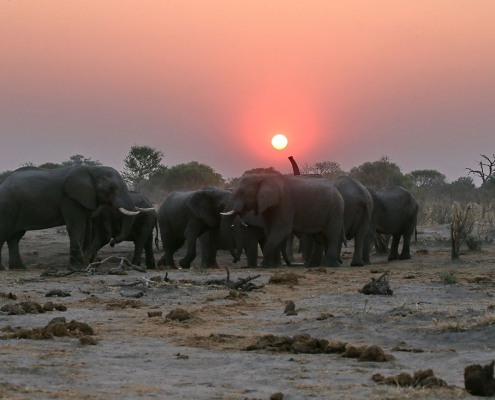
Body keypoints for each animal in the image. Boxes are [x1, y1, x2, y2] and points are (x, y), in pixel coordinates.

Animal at [0, 164, 151, 270]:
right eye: (112, 188)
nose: (113, 242)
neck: (92, 170)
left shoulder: (86, 199)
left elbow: (87, 228)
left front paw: (84, 263)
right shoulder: (69, 198)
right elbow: (77, 227)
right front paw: (77, 266)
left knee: (15, 238)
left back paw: (19, 268)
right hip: (7, 207)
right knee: (5, 234)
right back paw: (4, 269)